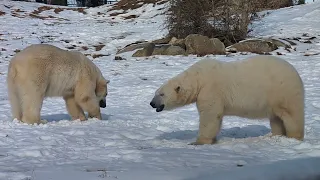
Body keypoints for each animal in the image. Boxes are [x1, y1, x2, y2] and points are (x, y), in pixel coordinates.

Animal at [150, 54, 304, 145]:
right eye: (156, 93)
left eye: (161, 94)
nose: (151, 103)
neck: (199, 78)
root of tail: (295, 73)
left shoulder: (211, 90)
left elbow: (210, 115)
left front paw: (198, 142)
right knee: (276, 118)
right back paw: (275, 136)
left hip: (283, 92)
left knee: (292, 116)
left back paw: (294, 137)